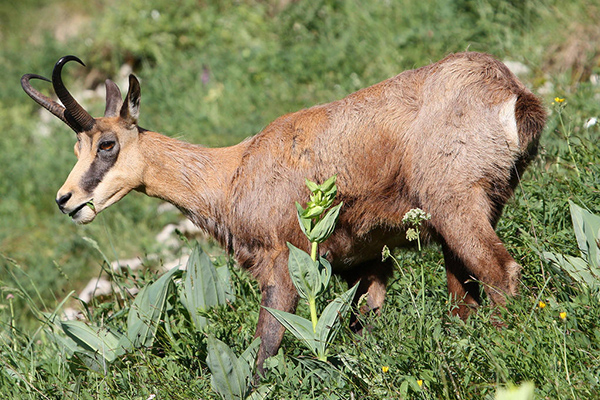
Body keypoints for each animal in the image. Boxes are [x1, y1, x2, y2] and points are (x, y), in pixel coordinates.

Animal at [23, 52, 548, 372]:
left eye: (107, 144)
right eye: (77, 146)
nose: (66, 200)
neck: (233, 172)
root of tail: (509, 92)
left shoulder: (280, 263)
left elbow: (265, 346)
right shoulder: (363, 262)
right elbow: (362, 325)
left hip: (456, 206)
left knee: (500, 273)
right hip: (467, 216)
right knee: (465, 292)